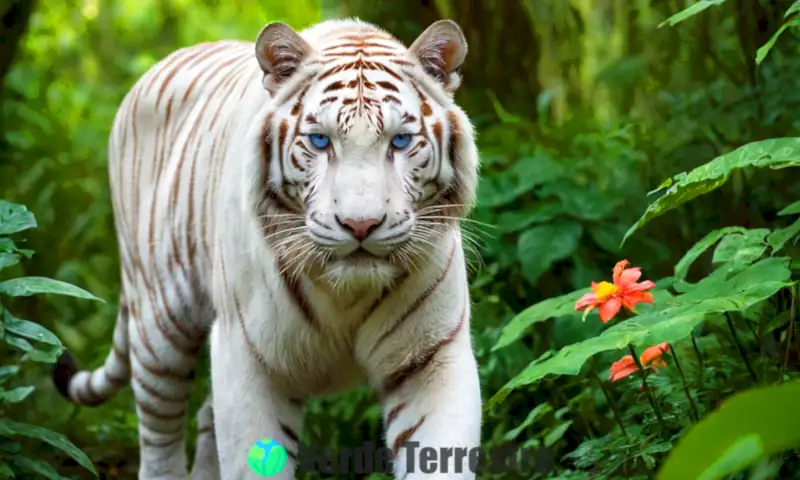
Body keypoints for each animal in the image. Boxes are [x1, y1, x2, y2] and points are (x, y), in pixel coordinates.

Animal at [56, 16, 484, 478]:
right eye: (320, 141)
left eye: (401, 141)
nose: (361, 224)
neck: (347, 296)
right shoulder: (245, 356)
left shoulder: (432, 357)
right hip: (160, 324)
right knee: (158, 437)